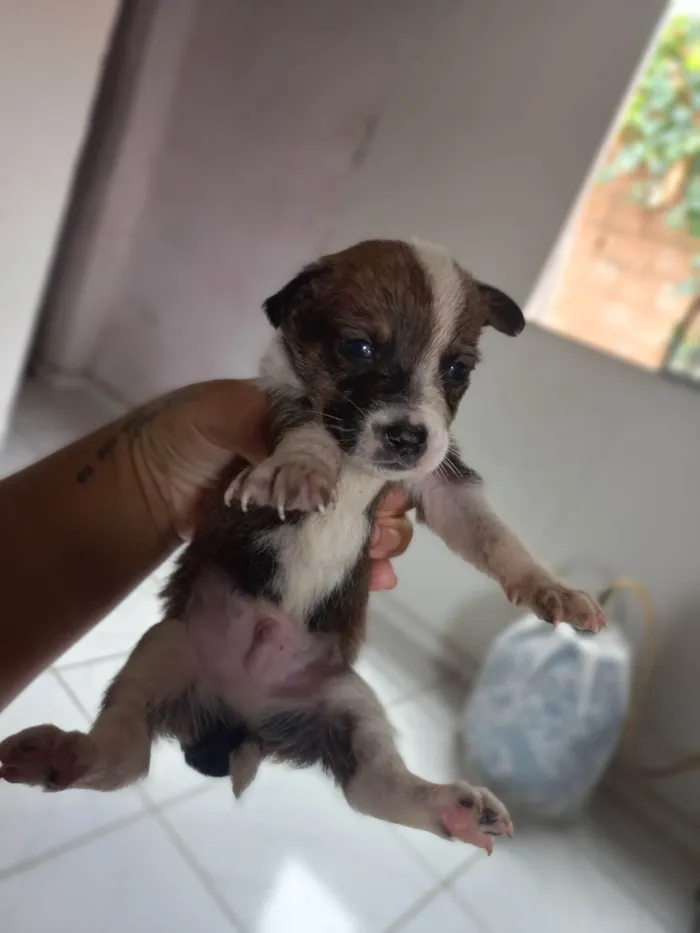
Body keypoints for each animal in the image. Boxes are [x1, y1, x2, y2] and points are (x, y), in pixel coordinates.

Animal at [0, 238, 604, 852]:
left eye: (457, 369)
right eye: (358, 347)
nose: (408, 437)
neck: (358, 462)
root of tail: (243, 721)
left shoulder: (442, 481)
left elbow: (492, 533)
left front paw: (553, 591)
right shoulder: (276, 408)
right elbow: (308, 428)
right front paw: (297, 470)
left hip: (351, 705)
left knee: (374, 786)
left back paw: (457, 811)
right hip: (162, 650)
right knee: (125, 754)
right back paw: (61, 753)